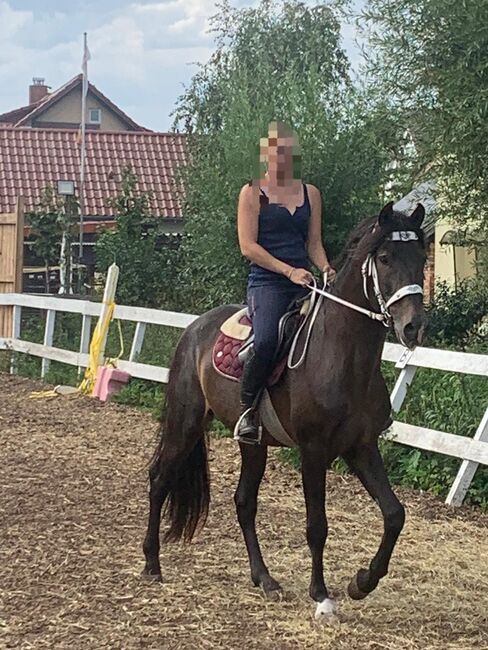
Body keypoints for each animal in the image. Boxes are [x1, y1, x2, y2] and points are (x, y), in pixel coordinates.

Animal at [141, 201, 428, 616]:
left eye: (422, 258)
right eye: (386, 257)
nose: (414, 327)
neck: (342, 355)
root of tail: (194, 329)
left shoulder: (361, 447)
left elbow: (394, 514)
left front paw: (362, 582)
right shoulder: (313, 451)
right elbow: (317, 525)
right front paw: (322, 595)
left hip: (253, 443)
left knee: (244, 503)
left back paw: (265, 580)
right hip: (187, 423)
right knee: (160, 479)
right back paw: (151, 563)